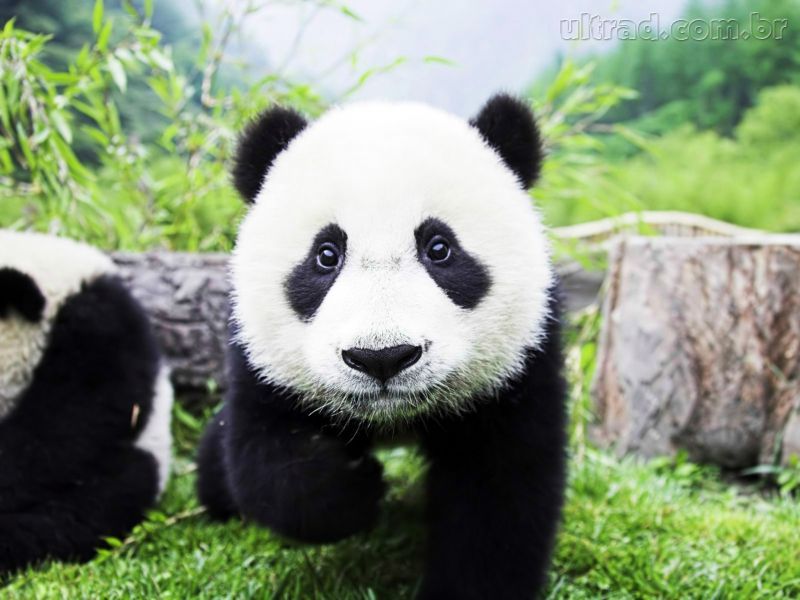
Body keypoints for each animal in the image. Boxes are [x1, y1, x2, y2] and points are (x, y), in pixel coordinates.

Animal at [197, 94, 567, 599]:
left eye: (439, 248)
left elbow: (499, 495)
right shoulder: (260, 362)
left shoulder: (520, 365)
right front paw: (354, 488)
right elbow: (267, 457)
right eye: (326, 255)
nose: (382, 357)